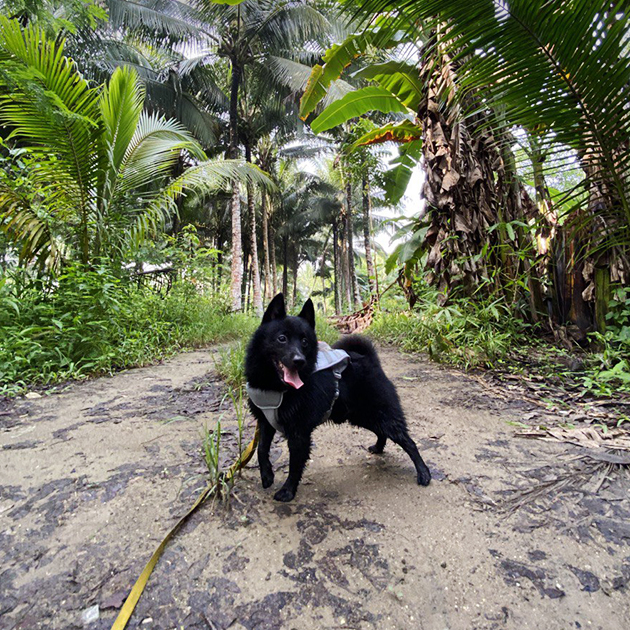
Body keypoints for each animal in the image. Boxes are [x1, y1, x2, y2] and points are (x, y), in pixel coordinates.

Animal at [244, 296, 432, 504]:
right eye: (281, 338)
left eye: (305, 341)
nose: (299, 360)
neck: (277, 388)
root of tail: (370, 360)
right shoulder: (265, 420)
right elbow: (261, 449)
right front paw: (267, 476)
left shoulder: (299, 433)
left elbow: (295, 465)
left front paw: (288, 491)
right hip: (362, 416)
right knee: (382, 431)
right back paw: (378, 447)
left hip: (382, 414)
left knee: (408, 442)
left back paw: (423, 473)